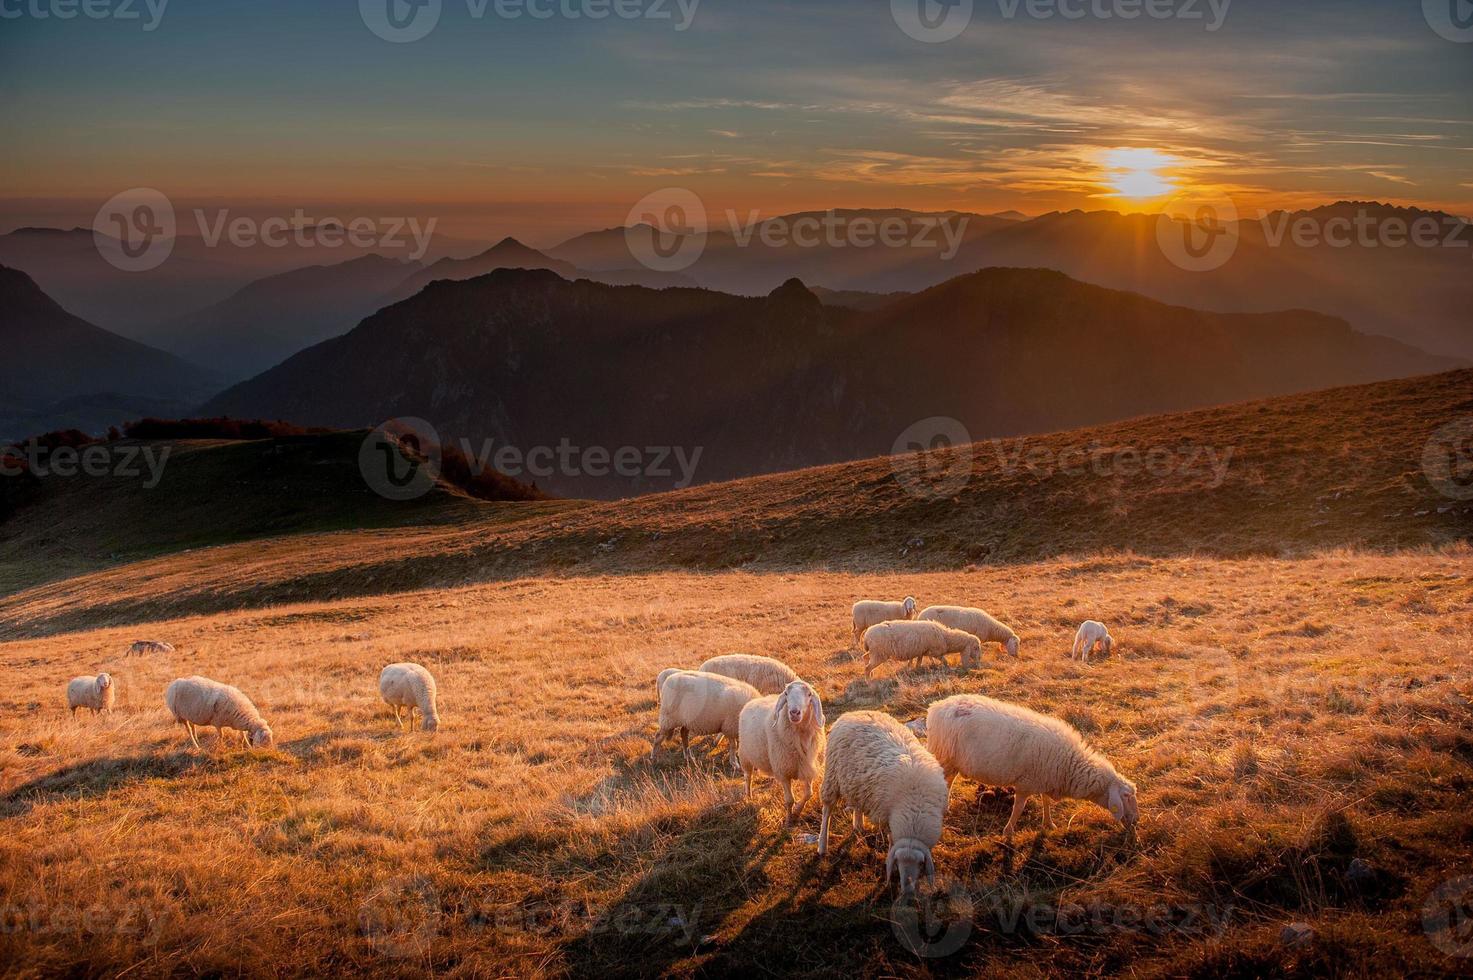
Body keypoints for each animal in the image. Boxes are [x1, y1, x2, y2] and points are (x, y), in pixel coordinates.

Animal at [736, 680, 830, 825]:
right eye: (786, 693)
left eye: (809, 694)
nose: (794, 712)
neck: (800, 734)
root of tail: (755, 700)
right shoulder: (783, 772)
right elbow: (789, 800)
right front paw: (789, 820)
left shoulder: (807, 768)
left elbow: (808, 794)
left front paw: (797, 811)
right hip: (745, 755)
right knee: (748, 777)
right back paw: (749, 796)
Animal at [813, 707, 948, 896]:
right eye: (897, 861)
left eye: (921, 864)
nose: (907, 891)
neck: (915, 810)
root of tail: (851, 713)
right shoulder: (887, 816)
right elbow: (891, 841)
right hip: (832, 776)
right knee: (827, 810)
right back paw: (822, 845)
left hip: (857, 781)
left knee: (857, 803)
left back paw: (858, 825)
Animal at [919, 686, 1137, 842]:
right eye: (1126, 797)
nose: (1136, 822)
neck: (1069, 765)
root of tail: (936, 706)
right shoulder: (1025, 783)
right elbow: (1019, 808)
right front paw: (1008, 832)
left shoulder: (1045, 778)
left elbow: (1046, 801)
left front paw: (1048, 824)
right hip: (942, 755)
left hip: (952, 761)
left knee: (948, 780)